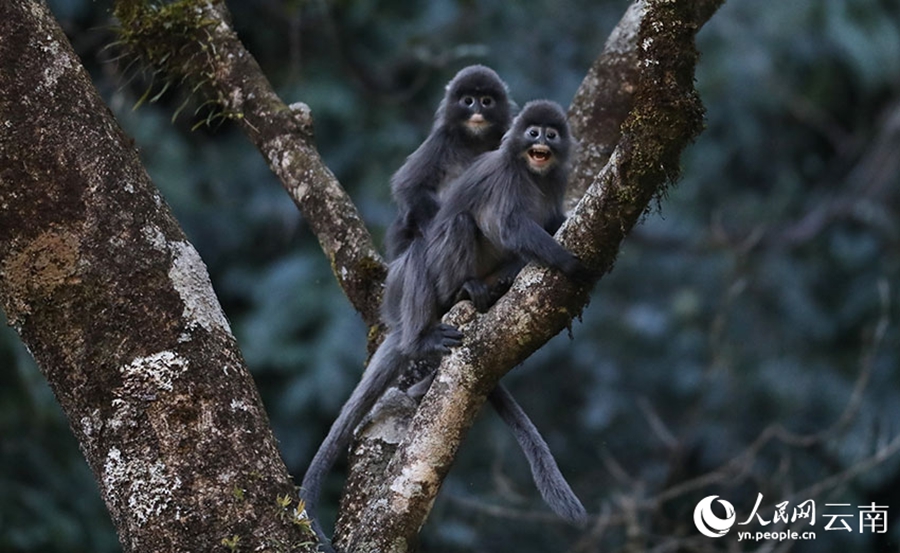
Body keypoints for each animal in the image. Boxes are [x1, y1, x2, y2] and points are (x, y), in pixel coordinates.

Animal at [385, 64, 513, 260]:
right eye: (468, 101)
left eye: (486, 101)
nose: (477, 112)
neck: (476, 139)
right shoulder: (442, 139)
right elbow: (408, 185)